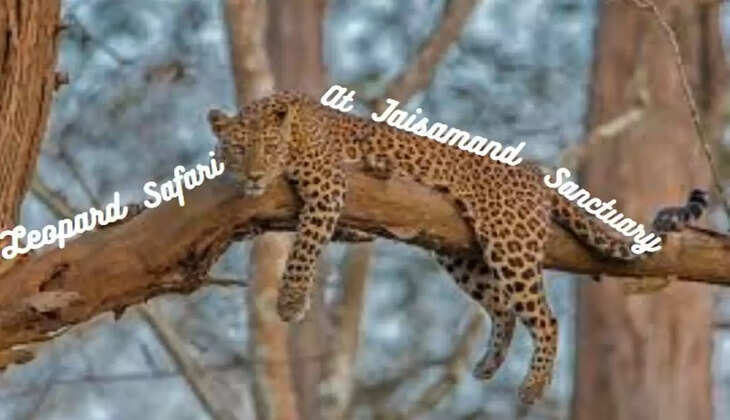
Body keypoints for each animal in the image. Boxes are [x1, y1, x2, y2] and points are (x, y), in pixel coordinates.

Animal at [208, 91, 701, 404]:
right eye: (237, 148)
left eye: (268, 145)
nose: (254, 176)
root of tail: (535, 172)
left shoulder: (328, 186)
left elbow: (306, 244)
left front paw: (291, 301)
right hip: (461, 255)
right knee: (503, 308)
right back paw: (488, 364)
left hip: (509, 244)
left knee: (545, 318)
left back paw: (533, 387)